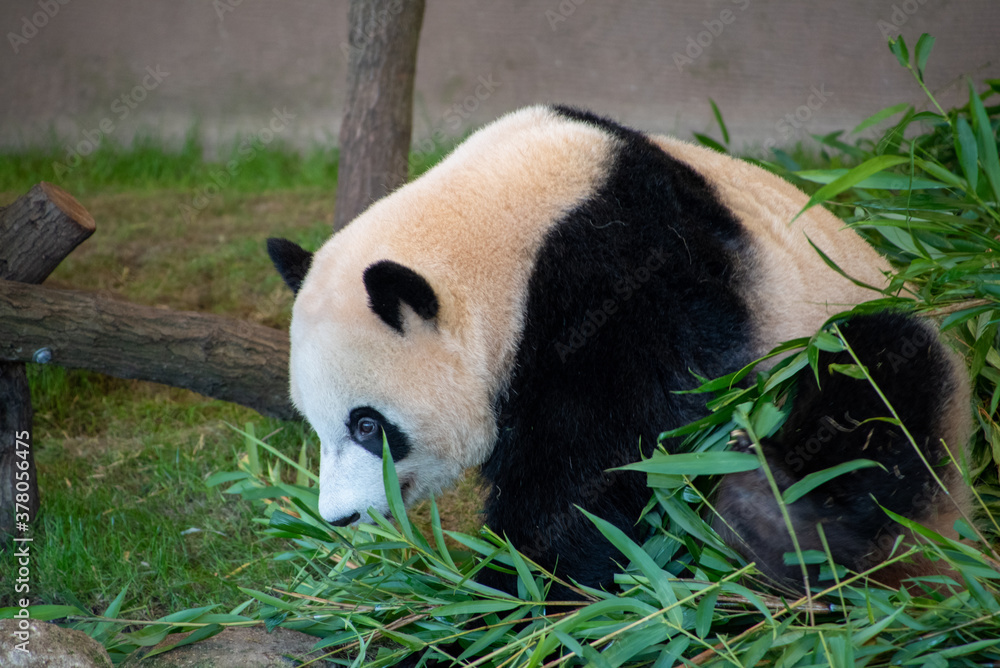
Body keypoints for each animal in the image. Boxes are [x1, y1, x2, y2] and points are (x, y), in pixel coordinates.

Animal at [267, 105, 971, 594]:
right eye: (315, 426)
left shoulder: (628, 272)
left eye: (367, 425)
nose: (338, 517)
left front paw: (521, 586)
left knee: (877, 392)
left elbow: (621, 450)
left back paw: (778, 529)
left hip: (835, 338)